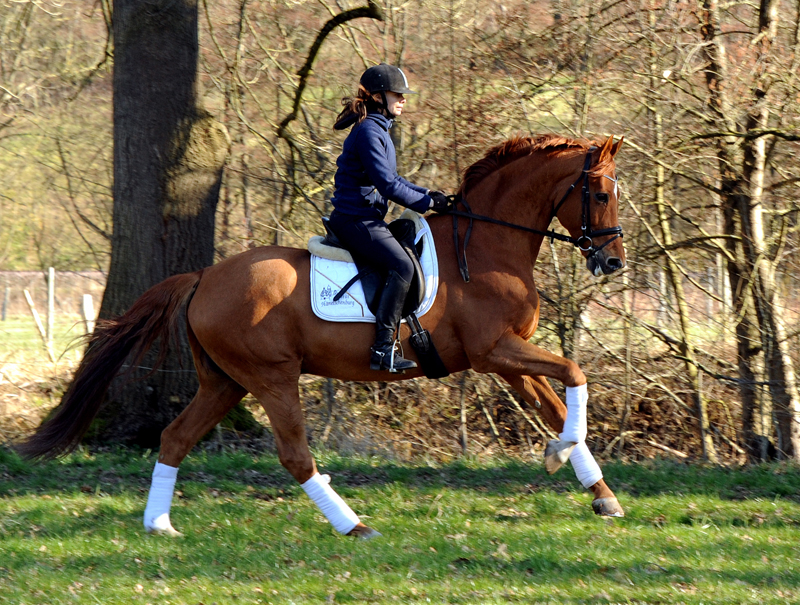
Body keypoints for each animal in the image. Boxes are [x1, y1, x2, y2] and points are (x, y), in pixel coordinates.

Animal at [18, 133, 628, 536]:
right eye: (600, 195)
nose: (612, 262)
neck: (485, 246)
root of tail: (204, 276)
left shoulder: (509, 359)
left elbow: (559, 404)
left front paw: (597, 490)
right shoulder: (494, 352)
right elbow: (575, 372)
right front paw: (562, 457)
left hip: (224, 383)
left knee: (175, 437)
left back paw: (160, 524)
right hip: (271, 378)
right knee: (294, 455)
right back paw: (352, 525)